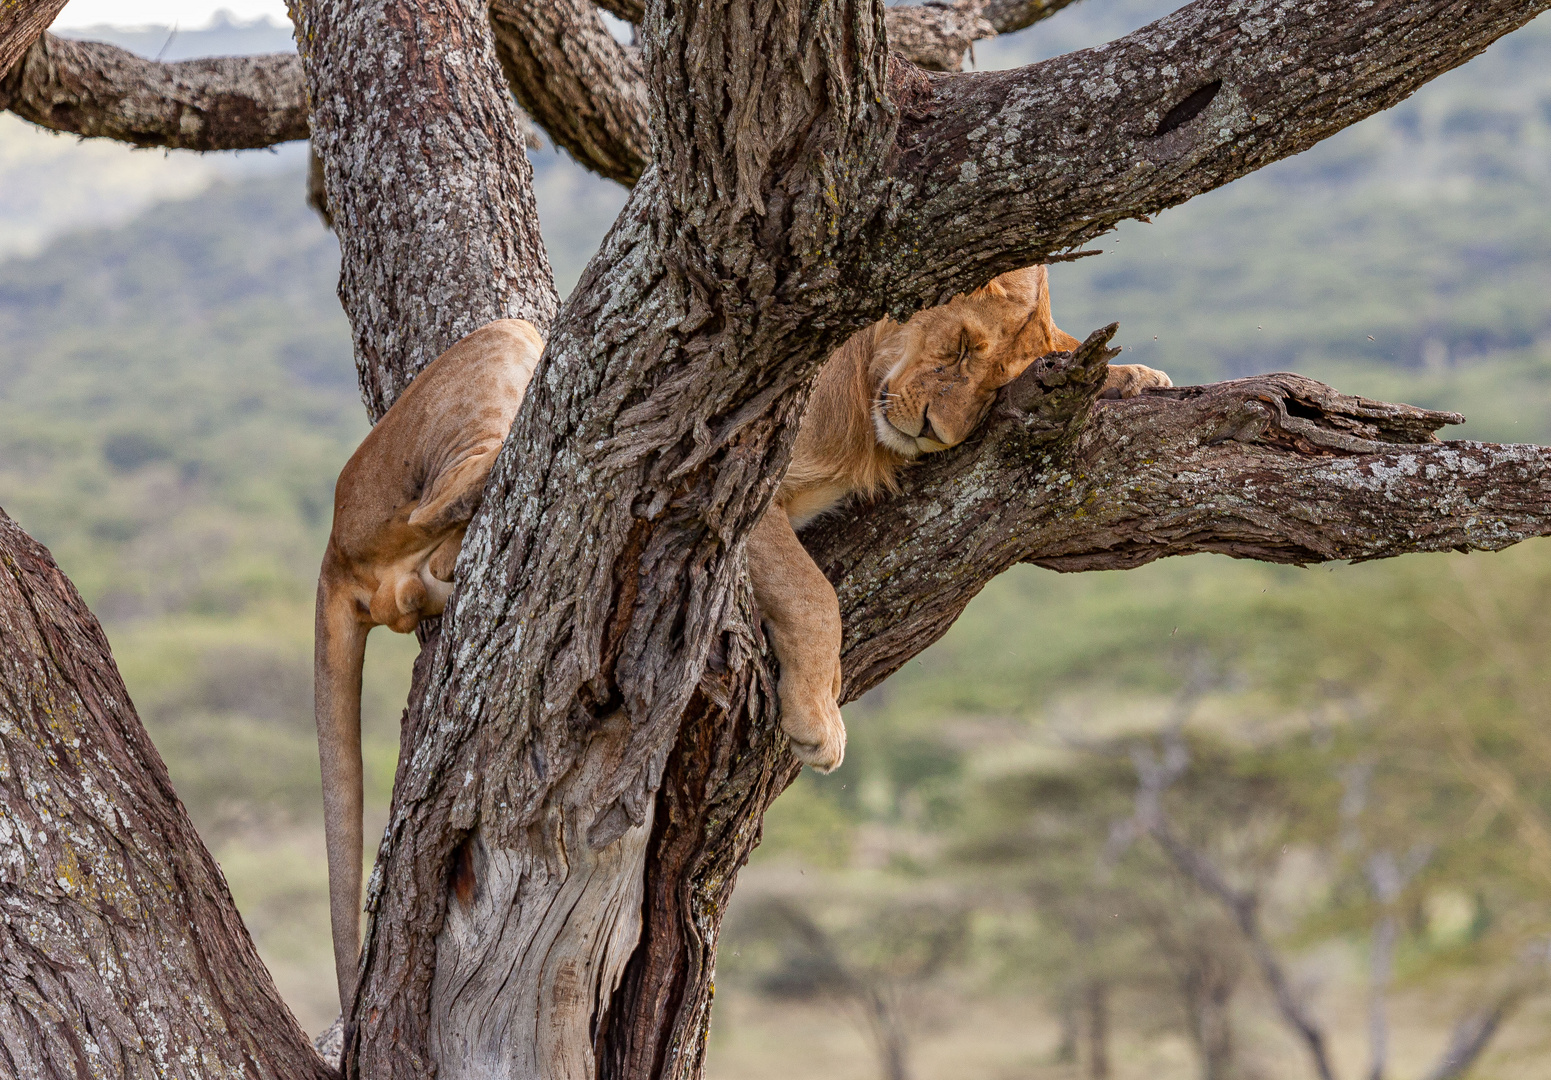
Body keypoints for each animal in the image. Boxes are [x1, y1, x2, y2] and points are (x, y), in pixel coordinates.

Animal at [311, 265, 1166, 1005]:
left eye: (994, 393)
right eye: (957, 348)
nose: (931, 431)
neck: (863, 393)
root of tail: (334, 543)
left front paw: (1138, 377)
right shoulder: (744, 487)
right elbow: (815, 596)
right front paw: (819, 723)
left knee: (424, 574)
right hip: (495, 360)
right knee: (462, 497)